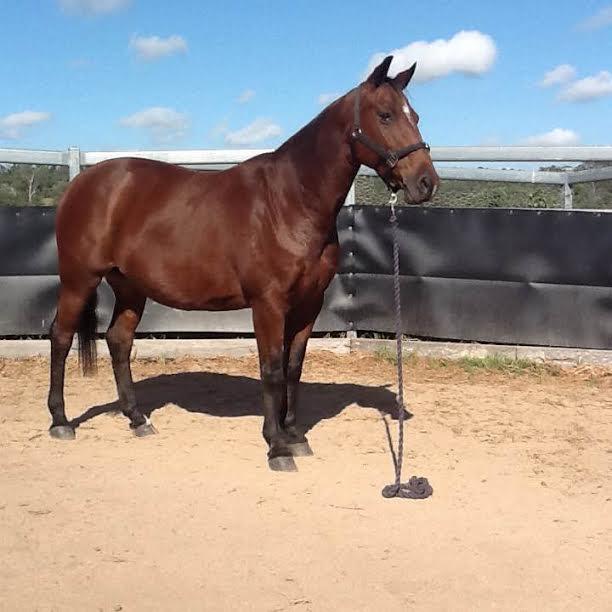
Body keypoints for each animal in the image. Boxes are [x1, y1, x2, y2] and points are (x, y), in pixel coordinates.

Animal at [47, 55, 439, 471]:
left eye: (415, 115)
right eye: (385, 115)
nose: (426, 182)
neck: (289, 201)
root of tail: (82, 184)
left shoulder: (308, 304)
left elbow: (293, 367)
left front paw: (294, 435)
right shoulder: (268, 304)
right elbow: (271, 368)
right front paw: (277, 447)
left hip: (130, 286)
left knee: (118, 341)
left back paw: (138, 420)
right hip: (79, 279)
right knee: (61, 335)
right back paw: (60, 421)